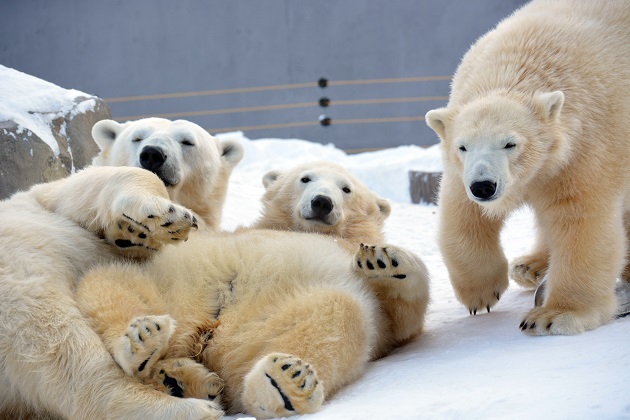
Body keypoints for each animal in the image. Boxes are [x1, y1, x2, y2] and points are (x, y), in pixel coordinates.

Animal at [0, 166, 225, 418]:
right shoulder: (37, 208)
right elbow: (87, 187)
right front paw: (168, 216)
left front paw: (136, 232)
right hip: (23, 300)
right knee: (66, 351)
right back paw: (191, 405)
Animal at [73, 160, 430, 416]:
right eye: (305, 178)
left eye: (346, 189)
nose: (322, 202)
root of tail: (207, 337)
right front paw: (137, 229)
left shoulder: (362, 277)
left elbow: (400, 320)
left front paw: (384, 259)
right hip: (172, 289)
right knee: (109, 280)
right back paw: (147, 346)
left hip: (265, 320)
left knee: (339, 314)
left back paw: (277, 384)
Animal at [424, 0, 630, 334]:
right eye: (463, 146)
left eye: (510, 144)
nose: (484, 186)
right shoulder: (460, 170)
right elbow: (462, 215)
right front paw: (480, 293)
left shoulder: (583, 147)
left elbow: (580, 219)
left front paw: (553, 315)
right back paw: (528, 266)